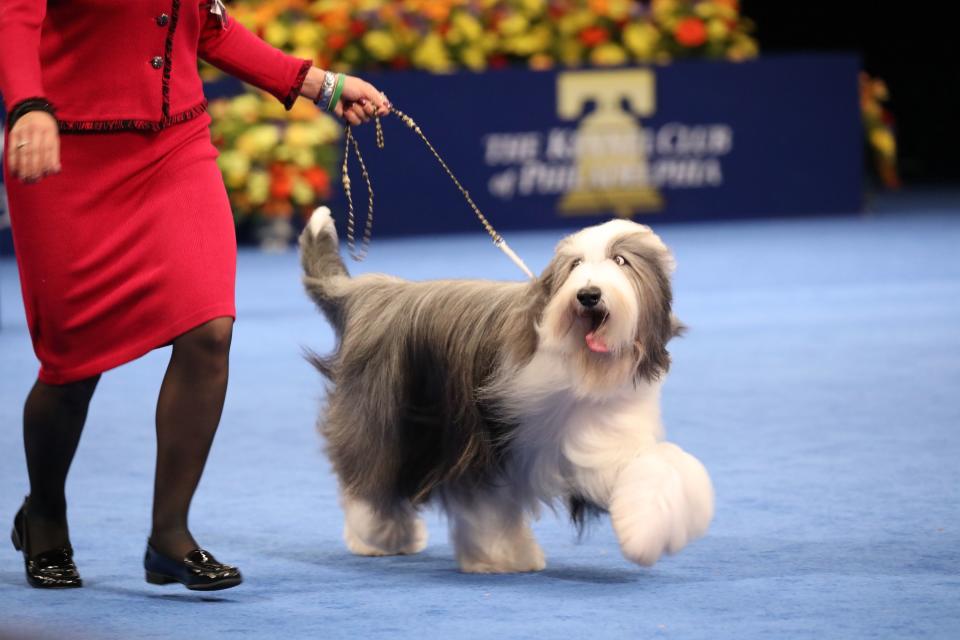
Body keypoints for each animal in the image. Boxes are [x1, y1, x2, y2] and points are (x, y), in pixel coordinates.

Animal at [300, 208, 712, 572]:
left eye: (621, 260)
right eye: (575, 265)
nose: (589, 295)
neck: (581, 368)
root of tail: (368, 292)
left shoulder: (596, 435)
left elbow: (656, 466)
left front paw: (651, 528)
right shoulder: (484, 440)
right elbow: (488, 505)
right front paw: (501, 557)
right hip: (383, 415)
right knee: (370, 473)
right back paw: (379, 536)